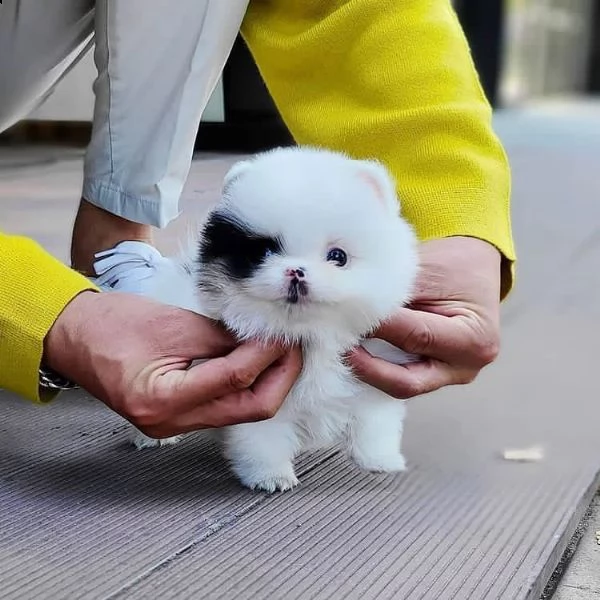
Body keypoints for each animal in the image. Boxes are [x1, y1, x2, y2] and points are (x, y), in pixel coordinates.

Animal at [134, 146, 420, 492]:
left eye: (338, 257)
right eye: (265, 252)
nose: (296, 271)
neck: (307, 334)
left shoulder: (376, 375)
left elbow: (375, 420)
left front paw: (380, 459)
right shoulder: (260, 403)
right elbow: (262, 439)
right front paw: (270, 476)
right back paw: (152, 438)